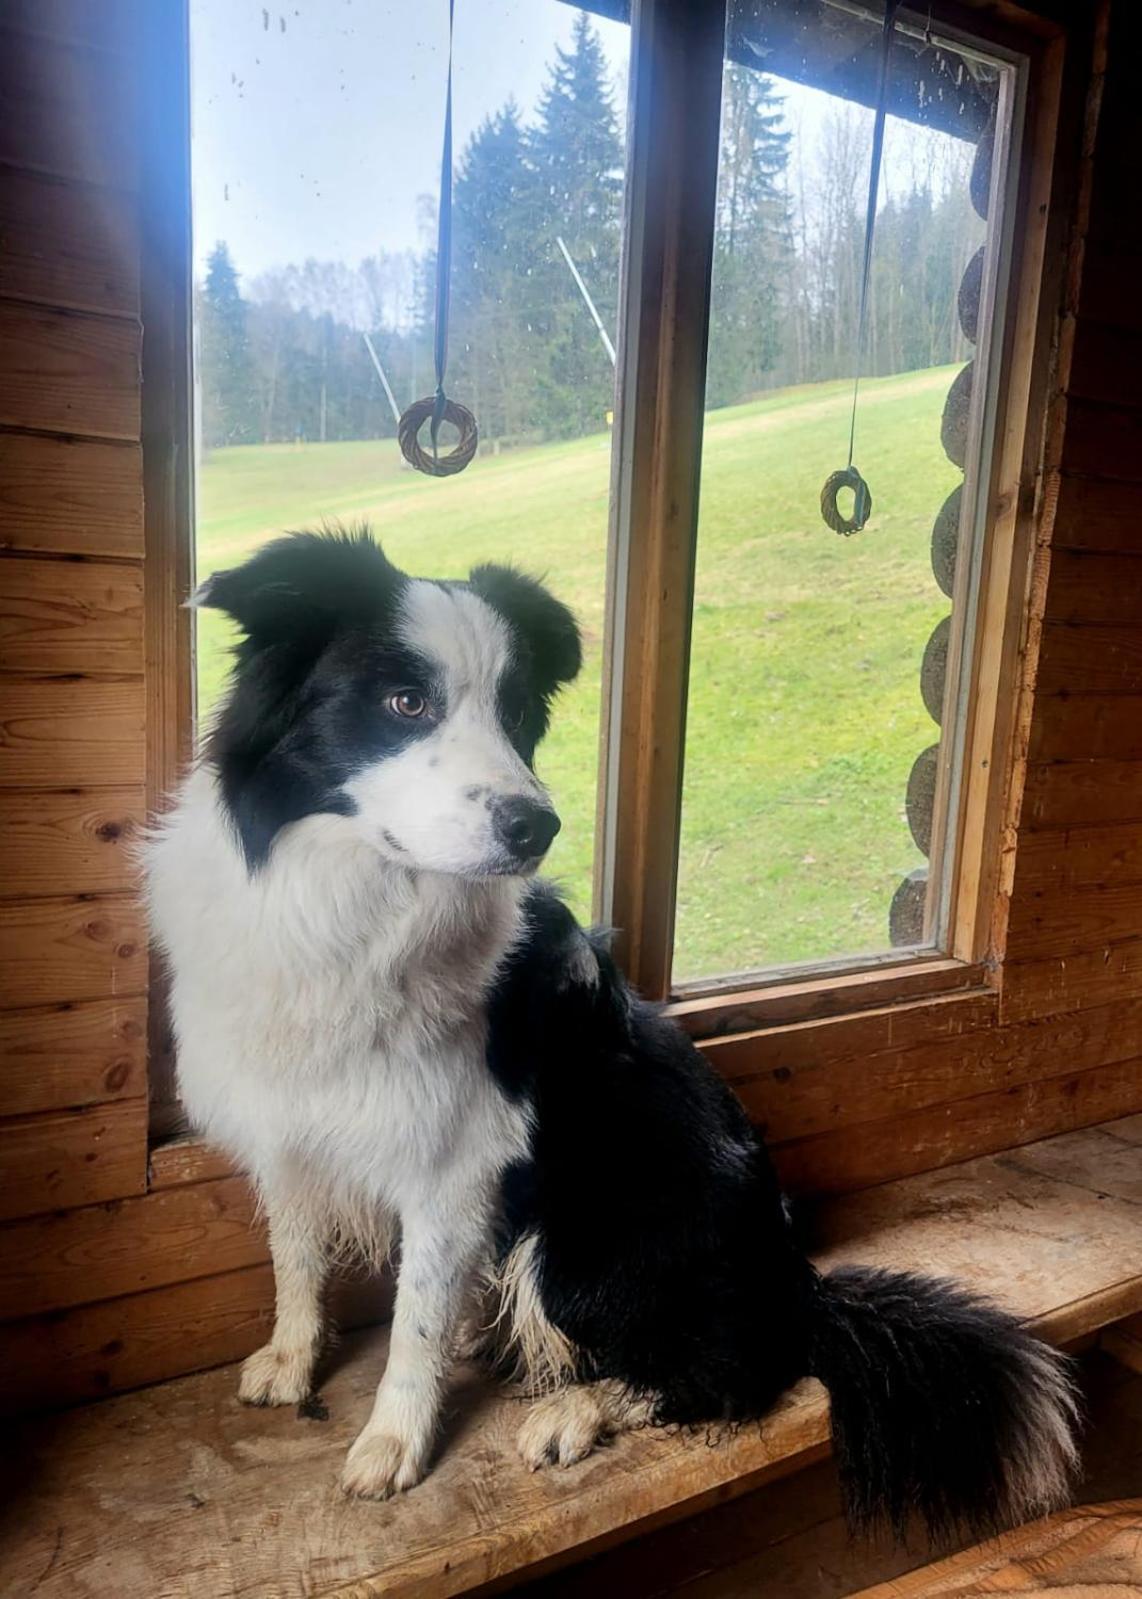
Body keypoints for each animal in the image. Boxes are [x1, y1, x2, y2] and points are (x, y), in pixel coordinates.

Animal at [147, 527, 1081, 1535]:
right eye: (406, 702)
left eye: (517, 712)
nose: (537, 824)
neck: (350, 902)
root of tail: (796, 1287)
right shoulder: (286, 1120)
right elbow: (297, 1255)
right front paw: (291, 1359)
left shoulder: (457, 1161)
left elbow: (413, 1322)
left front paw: (395, 1441)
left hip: (585, 1226)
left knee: (730, 1369)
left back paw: (573, 1408)